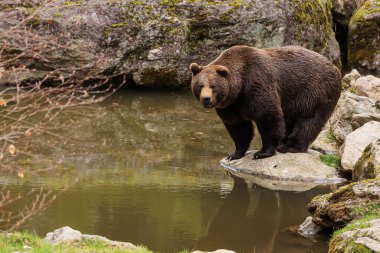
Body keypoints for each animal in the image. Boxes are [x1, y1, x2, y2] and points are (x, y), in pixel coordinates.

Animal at [190, 45, 342, 159]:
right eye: (200, 85)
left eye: (213, 86)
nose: (206, 99)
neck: (239, 88)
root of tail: (334, 67)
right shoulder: (231, 106)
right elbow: (238, 127)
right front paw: (234, 154)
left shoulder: (257, 84)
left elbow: (267, 116)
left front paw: (262, 153)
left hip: (315, 92)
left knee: (308, 120)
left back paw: (291, 146)